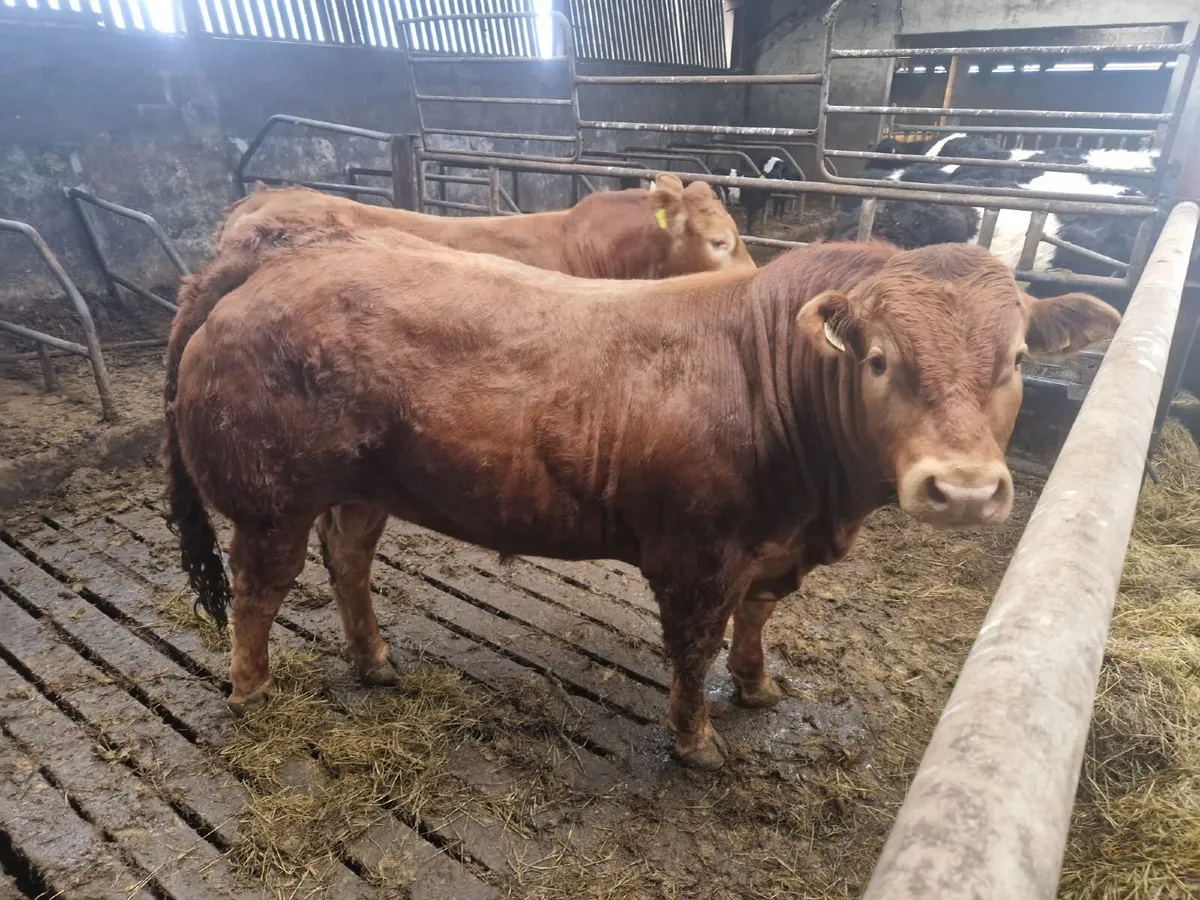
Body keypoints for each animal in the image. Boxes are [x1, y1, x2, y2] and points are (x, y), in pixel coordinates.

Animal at [165, 230, 1120, 770]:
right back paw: (251, 690)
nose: (963, 488)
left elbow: (757, 620)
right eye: (880, 358)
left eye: (1020, 359)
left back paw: (374, 659)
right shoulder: (697, 555)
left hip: (366, 484)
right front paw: (697, 744)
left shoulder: (774, 548)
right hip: (270, 500)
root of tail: (275, 260)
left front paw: (759, 686)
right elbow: (694, 650)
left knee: (349, 557)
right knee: (258, 592)